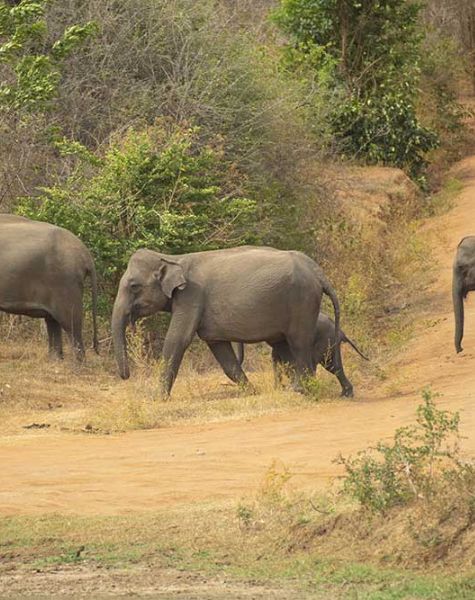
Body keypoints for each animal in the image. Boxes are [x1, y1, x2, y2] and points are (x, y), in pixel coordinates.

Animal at [111, 246, 342, 396]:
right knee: (287, 347)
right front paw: (251, 391)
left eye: (133, 286)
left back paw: (300, 390)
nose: (126, 376)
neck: (172, 258)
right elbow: (219, 348)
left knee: (299, 343)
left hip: (302, 302)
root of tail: (317, 271)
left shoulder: (191, 297)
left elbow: (177, 340)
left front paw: (156, 398)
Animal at [236, 310, 370, 398]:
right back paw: (345, 395)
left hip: (325, 340)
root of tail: (342, 332)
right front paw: (280, 389)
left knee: (322, 364)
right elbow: (278, 366)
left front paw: (290, 390)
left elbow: (292, 365)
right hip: (331, 343)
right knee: (334, 366)